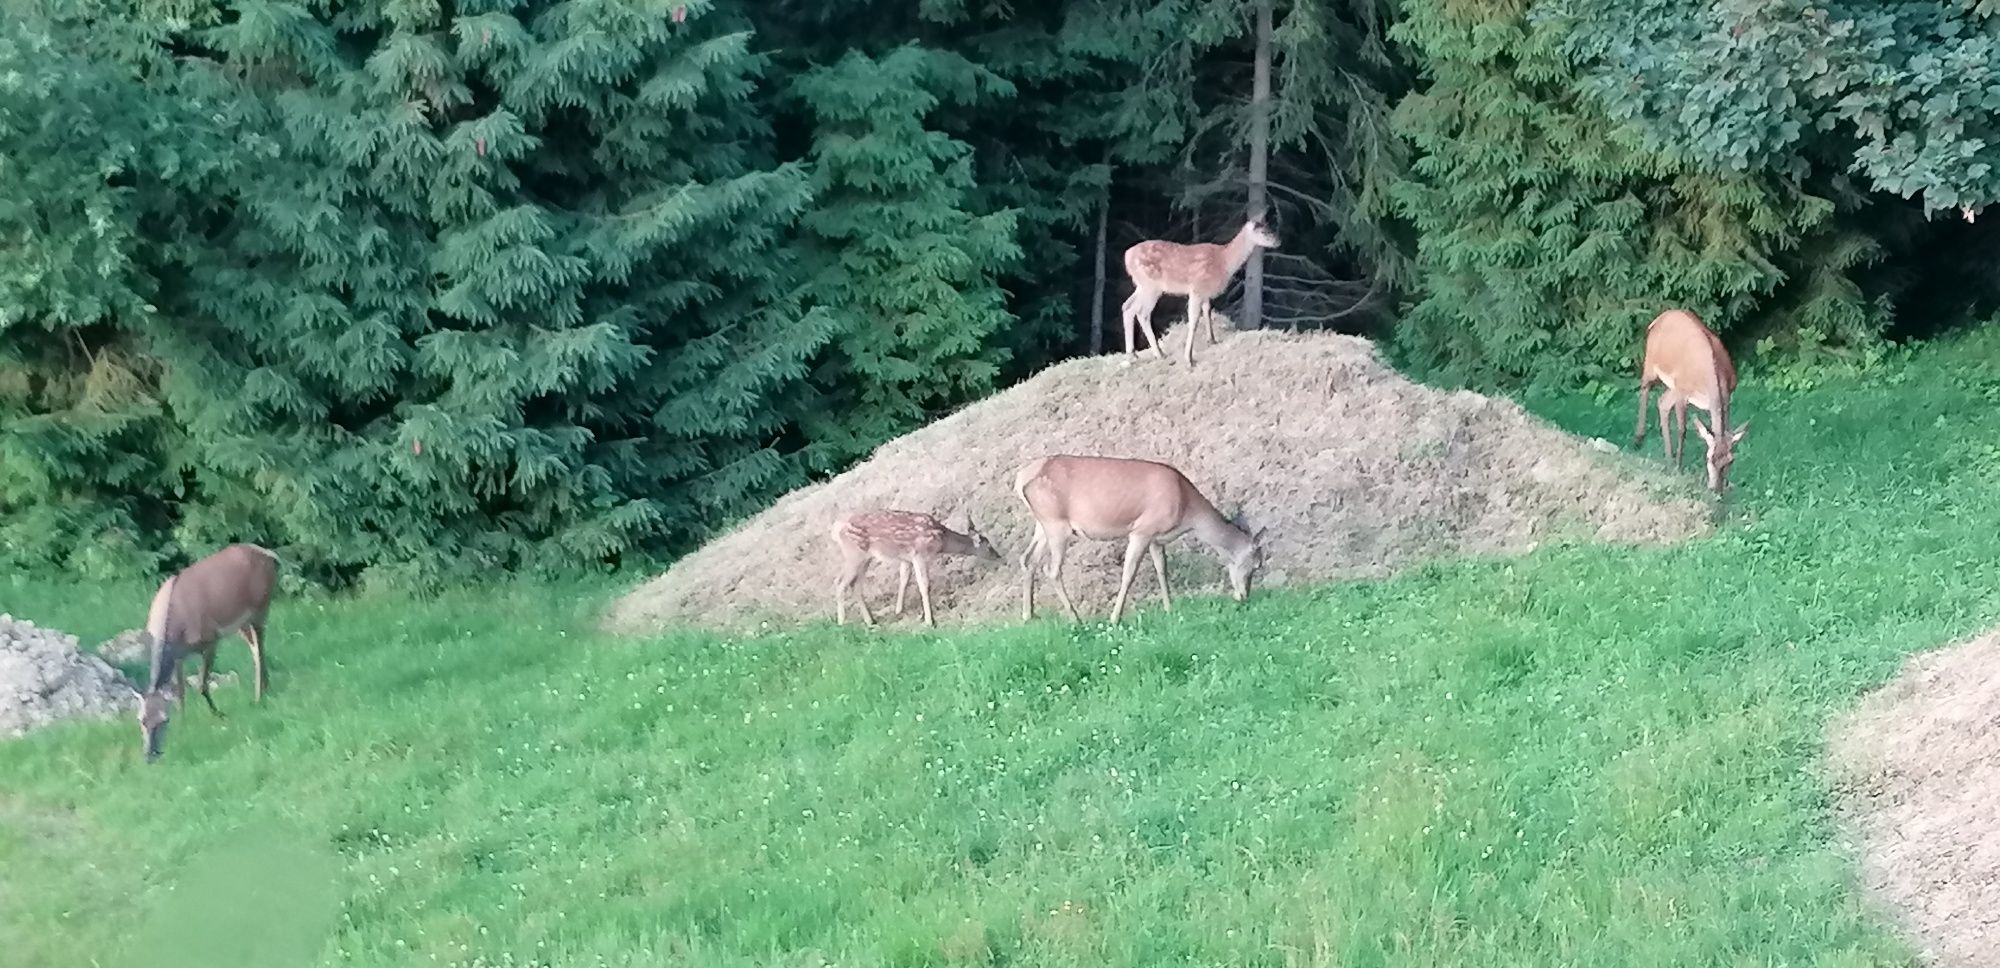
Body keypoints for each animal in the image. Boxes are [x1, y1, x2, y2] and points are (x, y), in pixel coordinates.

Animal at [135, 544, 280, 764]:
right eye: (141, 720)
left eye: (163, 721)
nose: (150, 756)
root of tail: (269, 554)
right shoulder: (179, 656)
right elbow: (180, 693)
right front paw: (183, 724)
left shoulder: (211, 639)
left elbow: (202, 685)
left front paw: (219, 714)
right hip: (242, 622)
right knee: (255, 648)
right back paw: (266, 688)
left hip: (261, 607)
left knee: (260, 650)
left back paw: (258, 697)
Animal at [828, 510, 1000, 632]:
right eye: (988, 545)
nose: (998, 555)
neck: (941, 540)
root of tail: (836, 530)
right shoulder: (919, 554)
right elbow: (924, 585)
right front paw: (930, 621)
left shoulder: (906, 558)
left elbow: (904, 578)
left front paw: (899, 611)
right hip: (854, 554)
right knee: (839, 582)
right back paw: (842, 622)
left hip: (865, 558)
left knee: (855, 585)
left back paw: (871, 621)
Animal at [1016, 456, 1248, 624]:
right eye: (1252, 564)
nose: (1244, 596)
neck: (1187, 512)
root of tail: (1020, 479)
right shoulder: (1141, 530)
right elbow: (1129, 573)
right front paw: (1115, 617)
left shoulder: (1155, 538)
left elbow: (1161, 568)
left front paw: (1169, 608)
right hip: (1057, 524)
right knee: (1052, 569)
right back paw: (1075, 618)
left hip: (1042, 525)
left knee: (1028, 559)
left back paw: (1029, 614)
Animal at [1128, 217, 1280, 368]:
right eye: (1263, 232)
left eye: (1269, 227)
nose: (1278, 241)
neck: (1224, 263)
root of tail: (1126, 257)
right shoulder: (1197, 288)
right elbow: (1194, 320)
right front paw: (1189, 359)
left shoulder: (1206, 292)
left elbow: (1207, 310)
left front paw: (1211, 339)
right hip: (1151, 285)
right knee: (1142, 312)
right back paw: (1159, 354)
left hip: (1141, 286)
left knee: (1128, 306)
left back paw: (1133, 353)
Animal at [1640, 308, 1752, 496]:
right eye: (1709, 458)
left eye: (1730, 461)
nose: (1716, 489)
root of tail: (1659, 318)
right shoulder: (1682, 393)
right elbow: (1682, 429)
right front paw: (1678, 467)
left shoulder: (1727, 395)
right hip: (1651, 363)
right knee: (1644, 388)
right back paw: (1639, 438)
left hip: (1672, 386)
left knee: (1662, 402)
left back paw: (1668, 457)